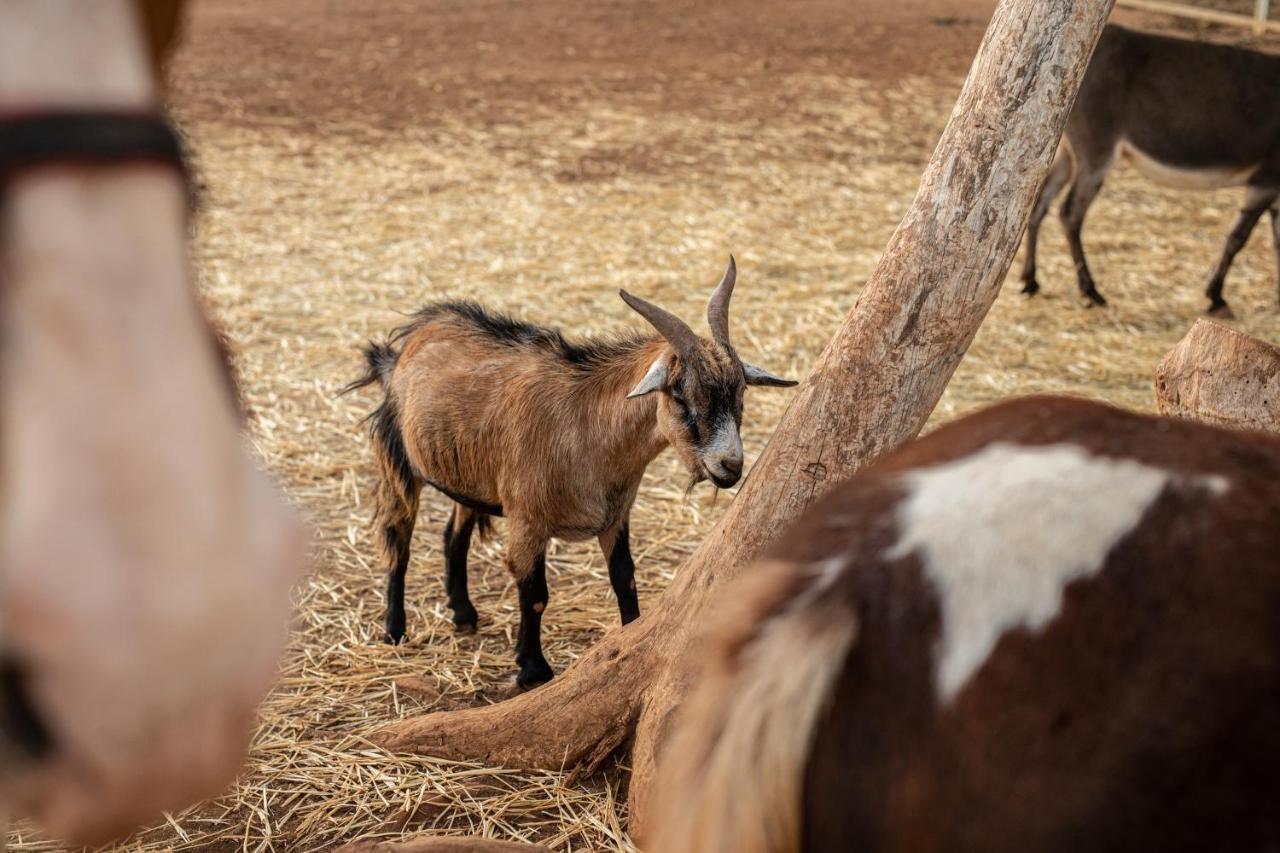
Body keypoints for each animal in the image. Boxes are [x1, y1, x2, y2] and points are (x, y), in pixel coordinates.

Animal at [345, 257, 793, 686]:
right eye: (681, 395)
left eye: (740, 393)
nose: (730, 465)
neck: (586, 428)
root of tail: (411, 338)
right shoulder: (527, 520)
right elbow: (535, 594)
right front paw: (532, 670)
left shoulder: (615, 517)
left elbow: (625, 580)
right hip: (399, 461)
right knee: (398, 539)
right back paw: (395, 629)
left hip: (466, 474)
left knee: (453, 535)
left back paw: (464, 614)